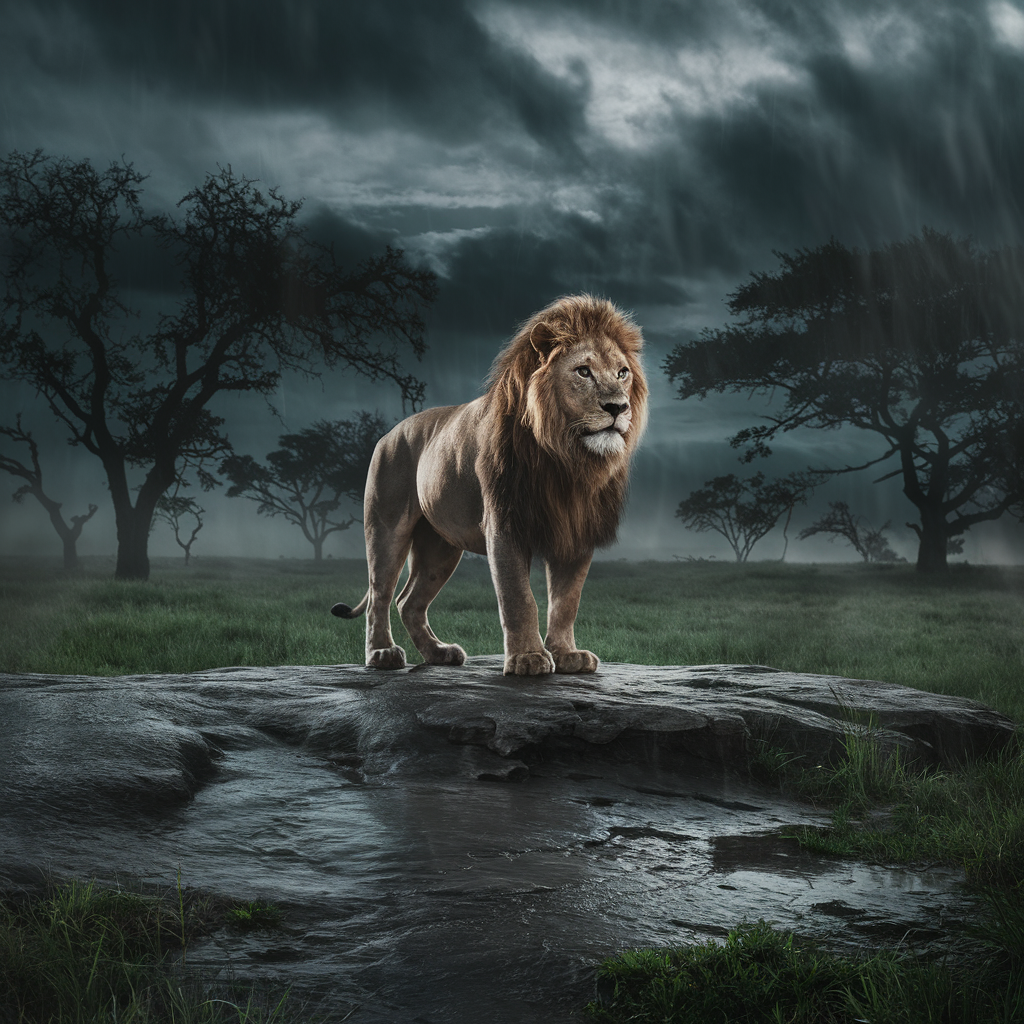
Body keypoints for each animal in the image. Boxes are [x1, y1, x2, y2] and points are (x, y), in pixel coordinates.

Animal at [331, 293, 648, 676]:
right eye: (583, 371)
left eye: (622, 372)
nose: (618, 407)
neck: (565, 459)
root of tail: (388, 433)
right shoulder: (505, 523)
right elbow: (519, 598)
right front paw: (528, 658)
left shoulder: (576, 531)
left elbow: (566, 601)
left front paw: (567, 655)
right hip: (386, 526)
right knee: (380, 594)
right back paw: (382, 654)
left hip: (440, 546)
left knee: (409, 601)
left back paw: (439, 653)